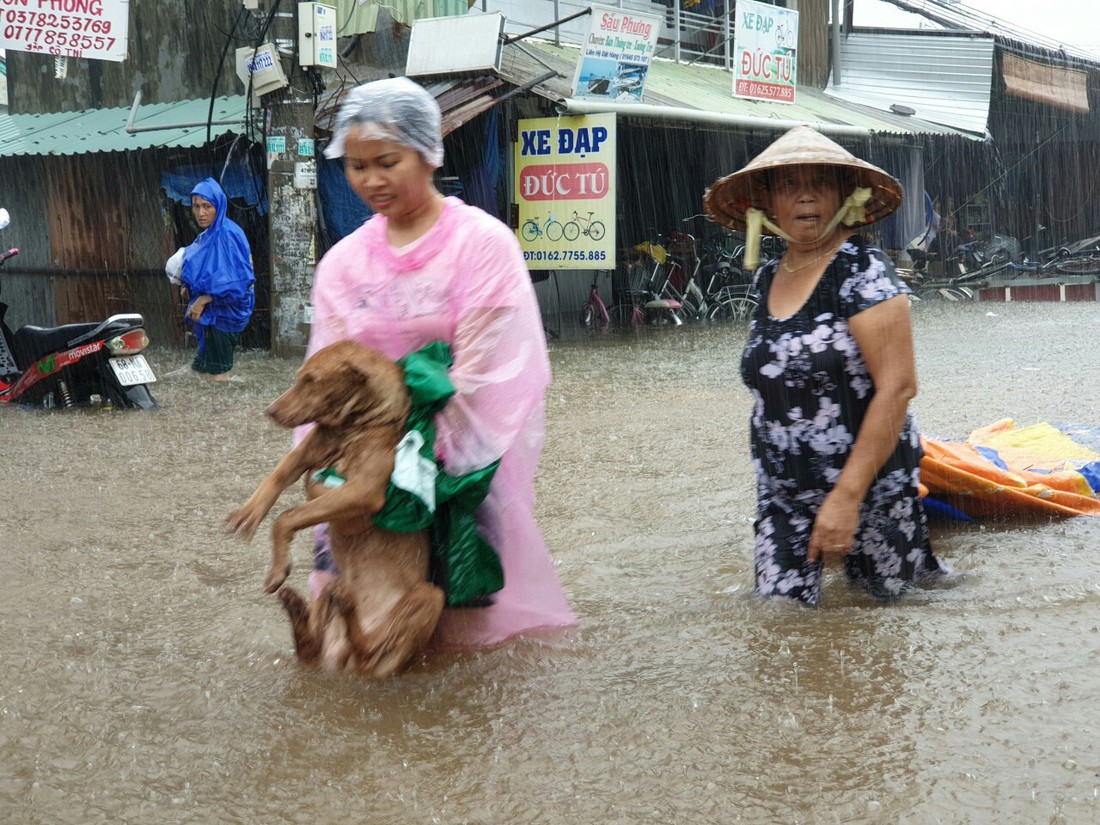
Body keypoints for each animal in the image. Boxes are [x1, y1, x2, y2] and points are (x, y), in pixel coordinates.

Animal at [225, 341, 444, 677]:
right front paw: (248, 514)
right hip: (329, 600)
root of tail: (344, 660)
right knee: (312, 648)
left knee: (370, 650)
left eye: (311, 380)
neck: (354, 425)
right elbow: (274, 477)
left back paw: (343, 610)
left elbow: (288, 516)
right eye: (299, 376)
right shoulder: (304, 453)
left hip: (430, 597)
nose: (270, 411)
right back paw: (299, 607)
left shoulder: (363, 492)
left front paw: (278, 569)